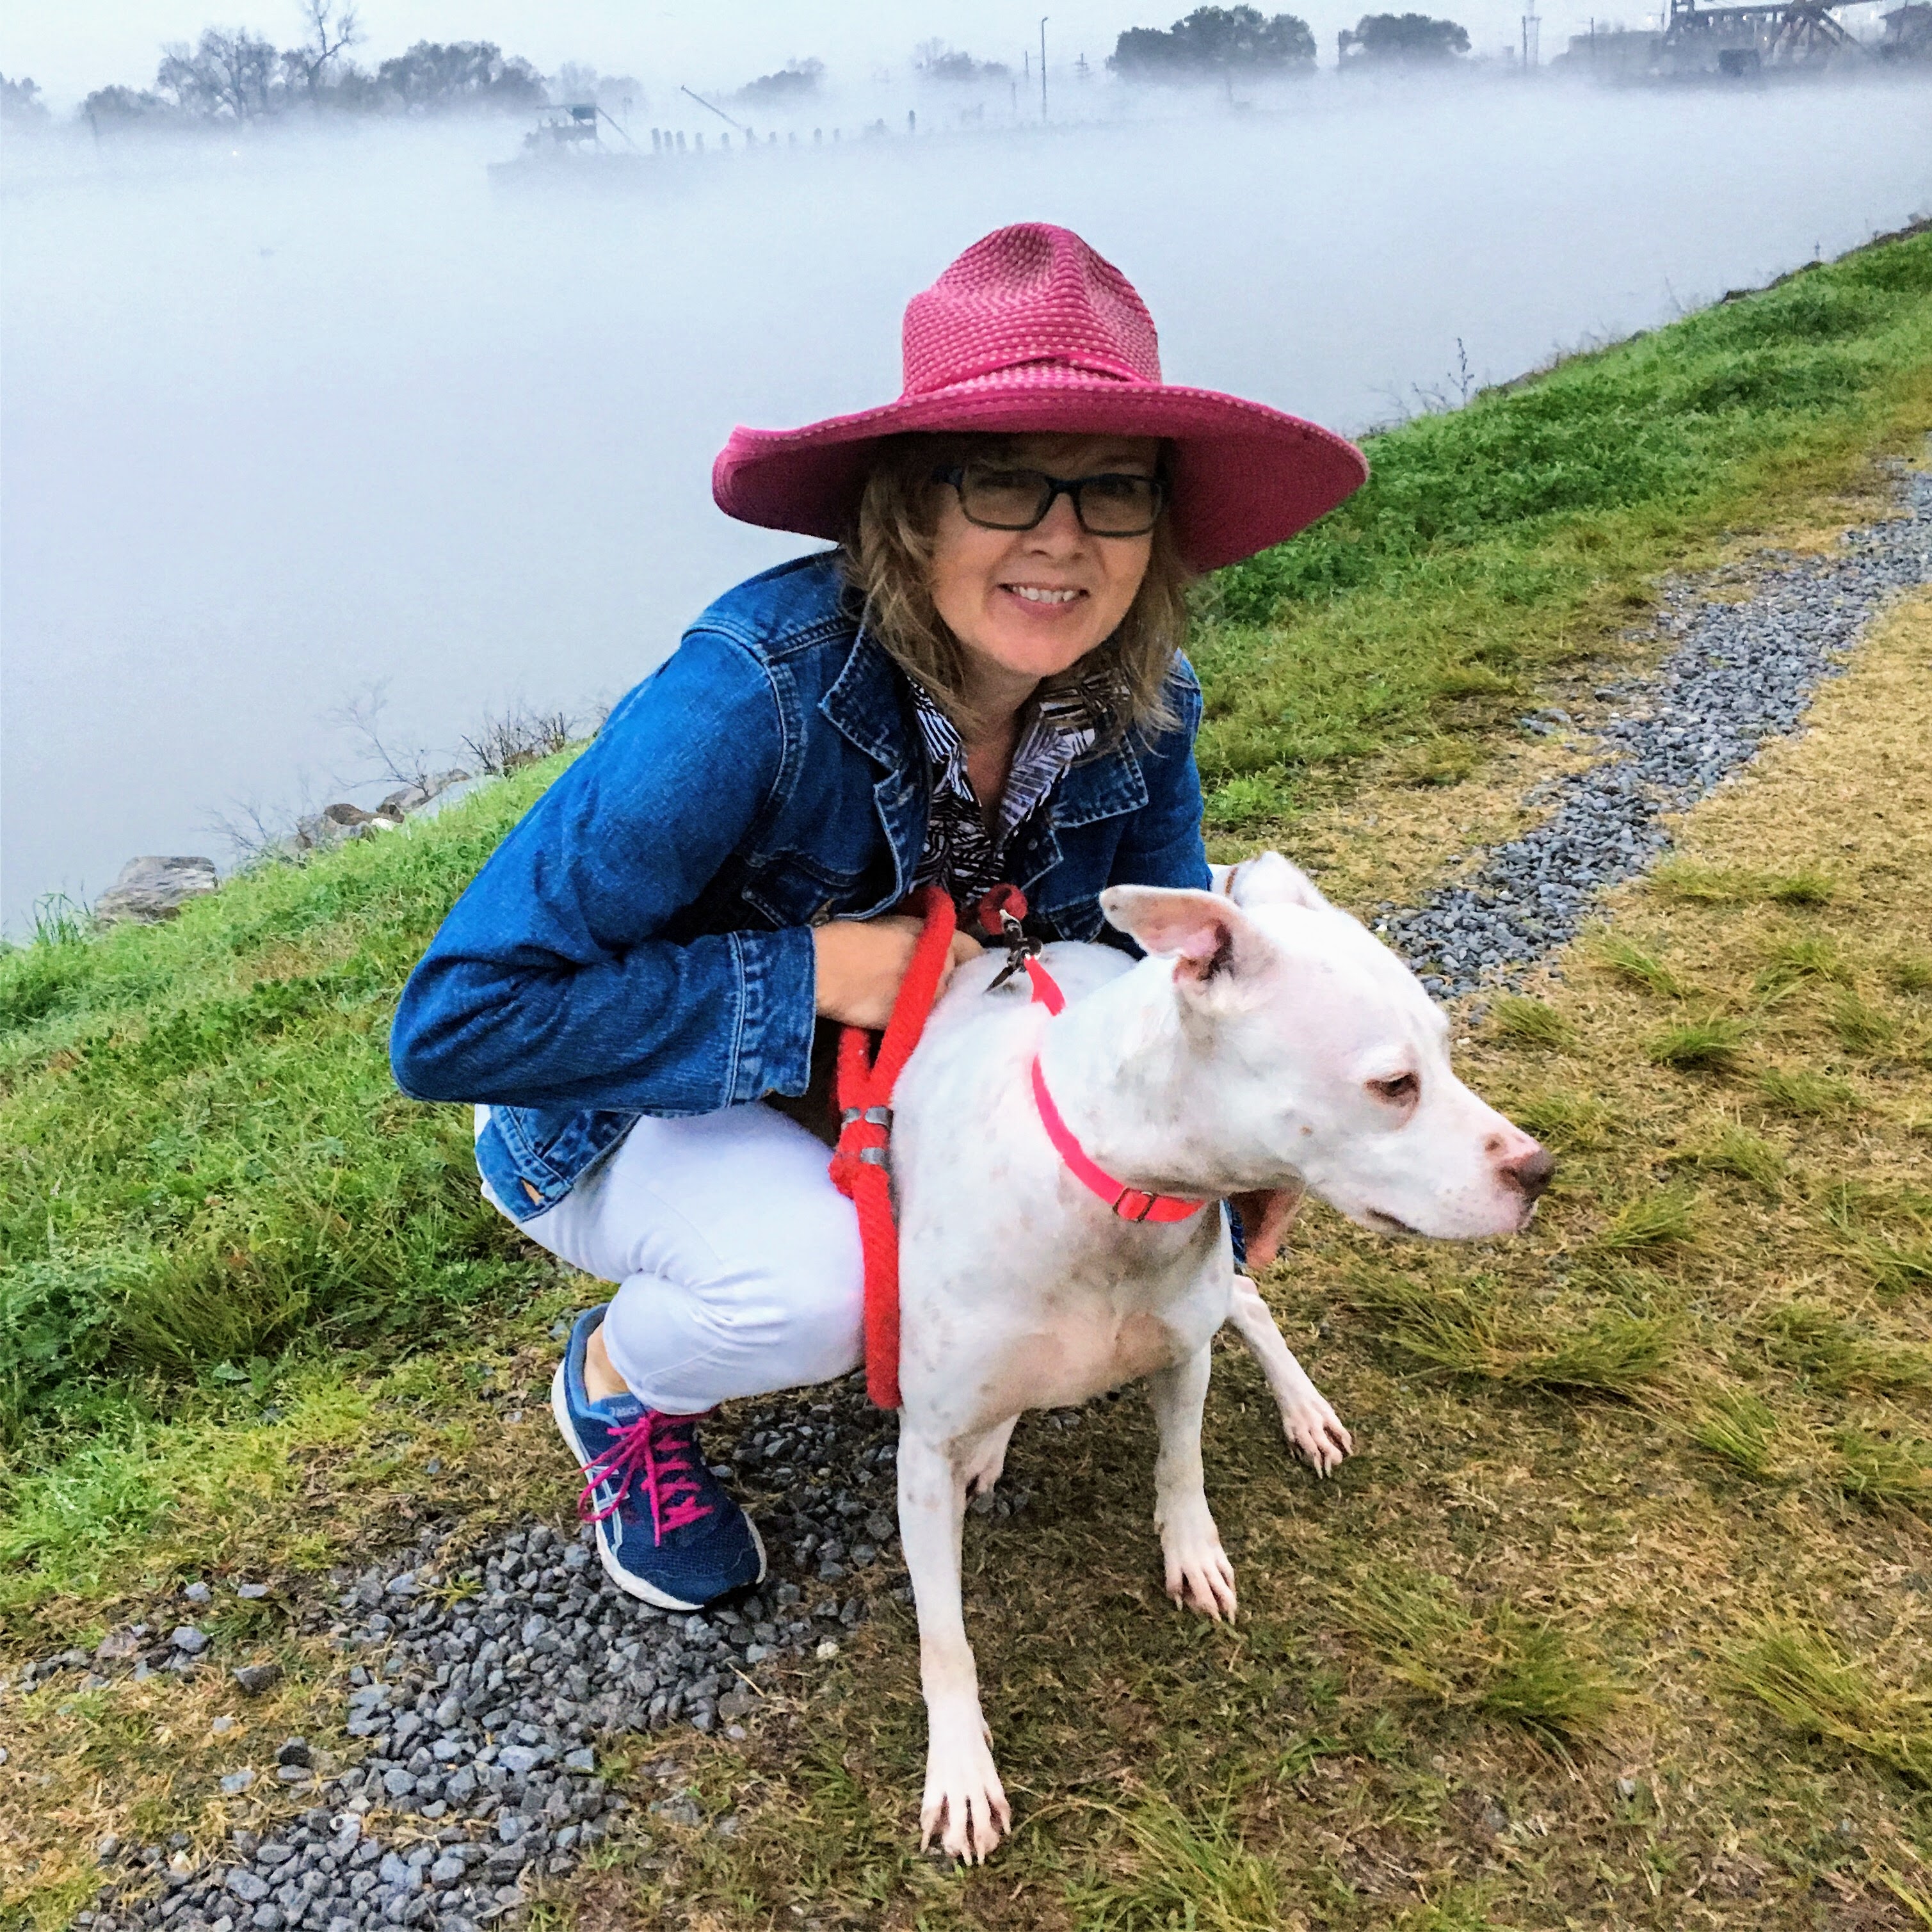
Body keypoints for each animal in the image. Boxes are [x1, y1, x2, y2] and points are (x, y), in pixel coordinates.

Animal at [889, 853, 1553, 1862]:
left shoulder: (1183, 1352)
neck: (1120, 1192)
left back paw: (1305, 1410)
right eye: (1394, 1084)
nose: (1539, 1170)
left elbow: (1181, 1465)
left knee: (1248, 1302)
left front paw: (1193, 1554)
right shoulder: (922, 1455)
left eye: (1444, 1050)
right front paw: (961, 1772)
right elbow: (944, 1640)